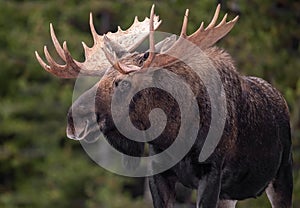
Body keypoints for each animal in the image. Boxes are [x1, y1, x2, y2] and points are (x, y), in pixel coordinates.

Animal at [35, 3, 292, 208]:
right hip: (230, 196)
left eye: (123, 82)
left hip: (282, 175)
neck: (174, 133)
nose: (73, 119)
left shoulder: (212, 173)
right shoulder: (158, 174)